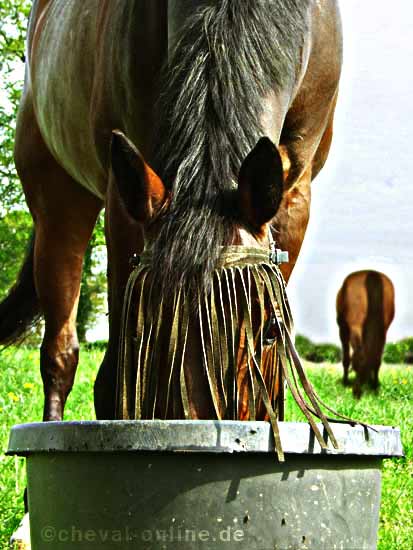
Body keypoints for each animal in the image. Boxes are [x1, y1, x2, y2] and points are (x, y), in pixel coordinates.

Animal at [0, 0, 342, 422]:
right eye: (148, 330)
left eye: (267, 333)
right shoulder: (126, 196)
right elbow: (113, 376)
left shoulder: (294, 194)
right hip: (59, 201)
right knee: (60, 351)